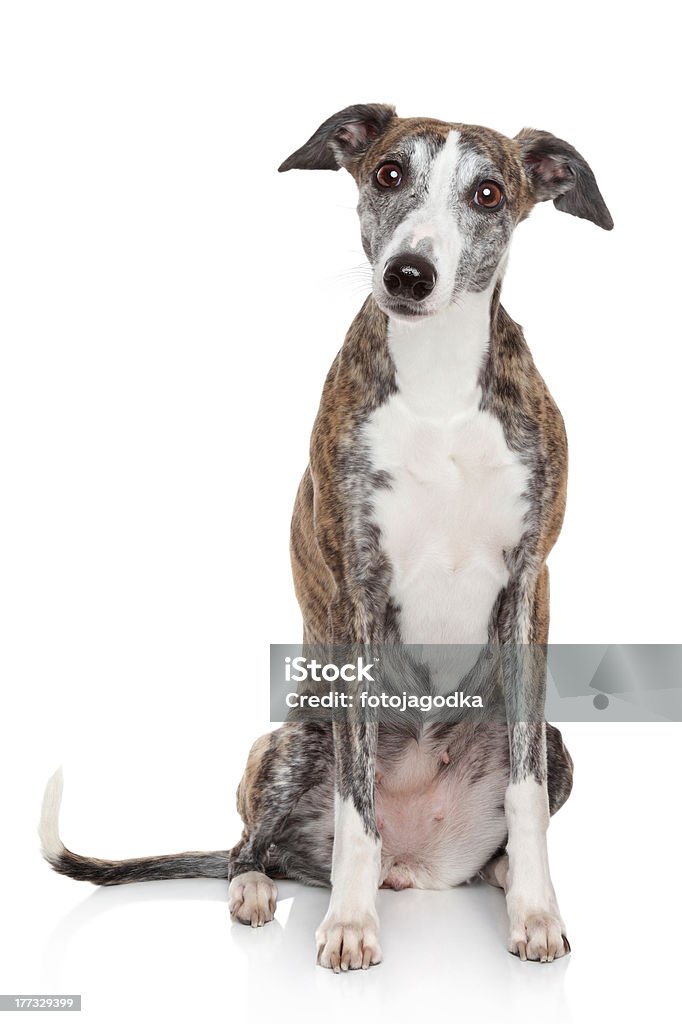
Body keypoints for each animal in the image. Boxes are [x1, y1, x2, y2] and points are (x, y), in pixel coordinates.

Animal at [39, 105, 610, 974]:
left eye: (488, 192)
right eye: (388, 173)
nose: (409, 274)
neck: (439, 382)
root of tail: (419, 863)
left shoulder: (528, 585)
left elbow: (525, 798)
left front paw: (537, 915)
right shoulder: (356, 596)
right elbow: (355, 804)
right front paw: (349, 923)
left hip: (556, 743)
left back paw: (503, 875)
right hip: (287, 745)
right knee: (251, 846)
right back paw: (258, 889)